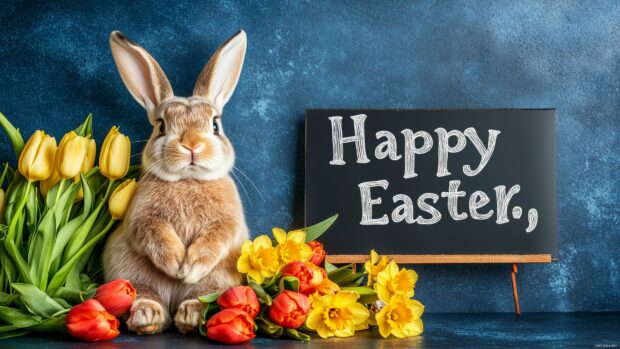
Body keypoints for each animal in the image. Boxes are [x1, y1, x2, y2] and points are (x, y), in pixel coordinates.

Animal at [103, 30, 248, 334]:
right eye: (161, 126)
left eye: (215, 125)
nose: (191, 144)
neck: (188, 179)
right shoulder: (142, 217)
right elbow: (155, 234)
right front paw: (174, 265)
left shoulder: (228, 223)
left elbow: (215, 239)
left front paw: (189, 269)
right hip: (130, 275)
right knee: (145, 296)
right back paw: (149, 317)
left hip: (218, 281)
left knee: (201, 296)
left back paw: (190, 315)